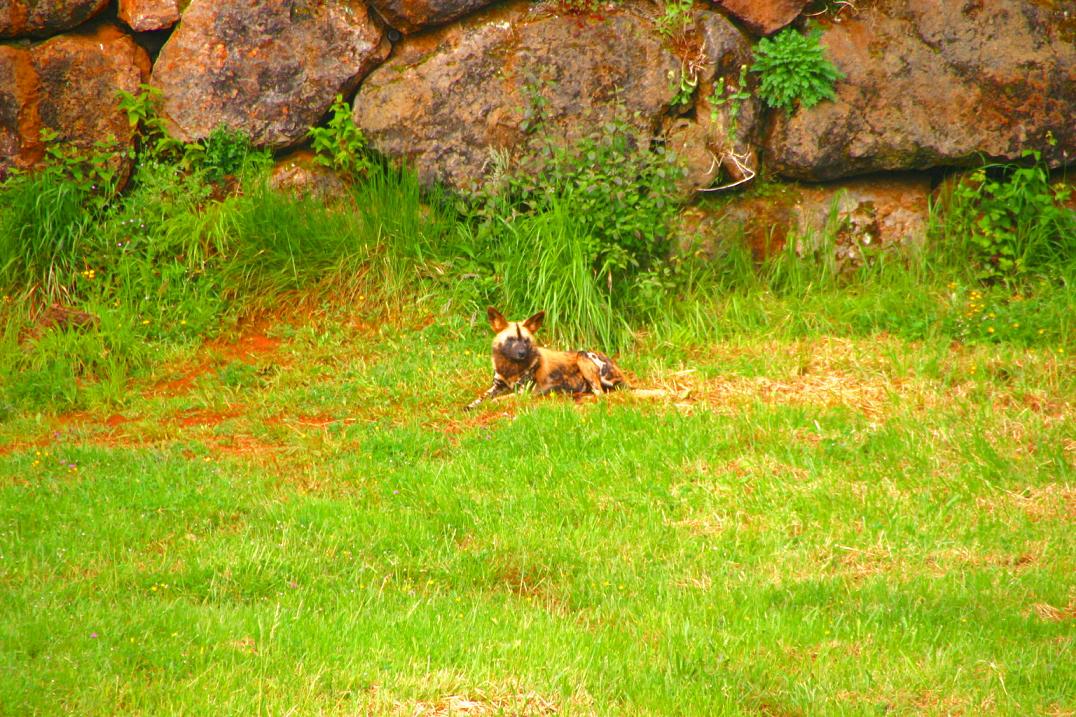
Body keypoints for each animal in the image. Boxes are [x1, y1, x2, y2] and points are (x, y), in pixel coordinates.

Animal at [464, 305, 628, 411]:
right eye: (511, 340)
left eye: (526, 341)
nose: (522, 353)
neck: (511, 367)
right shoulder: (497, 386)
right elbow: (482, 397)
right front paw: (471, 405)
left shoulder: (522, 393)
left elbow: (494, 400)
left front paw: (487, 404)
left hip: (582, 356)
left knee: (600, 394)